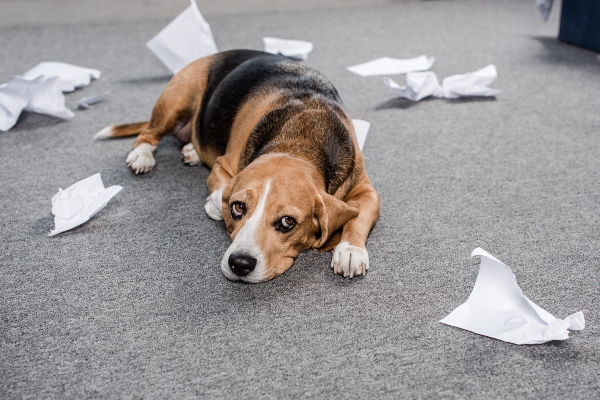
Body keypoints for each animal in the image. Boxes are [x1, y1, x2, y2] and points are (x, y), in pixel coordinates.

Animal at [97, 49, 380, 282]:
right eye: (238, 208)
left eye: (287, 222)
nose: (240, 264)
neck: (298, 142)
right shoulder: (223, 164)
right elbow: (220, 189)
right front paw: (214, 203)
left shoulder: (367, 191)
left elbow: (359, 217)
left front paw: (350, 250)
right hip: (177, 98)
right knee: (147, 133)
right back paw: (143, 155)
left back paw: (191, 151)